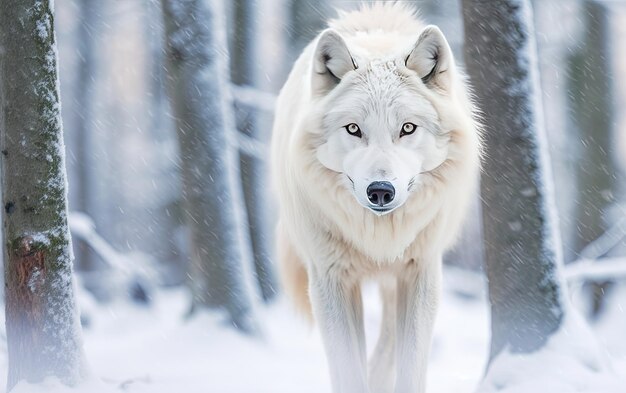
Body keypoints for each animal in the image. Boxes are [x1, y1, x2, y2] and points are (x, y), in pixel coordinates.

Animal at [270, 3, 480, 392]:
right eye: (354, 129)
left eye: (407, 128)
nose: (381, 191)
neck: (378, 238)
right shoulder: (329, 280)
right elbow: (348, 369)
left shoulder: (421, 273)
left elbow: (409, 367)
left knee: (387, 345)